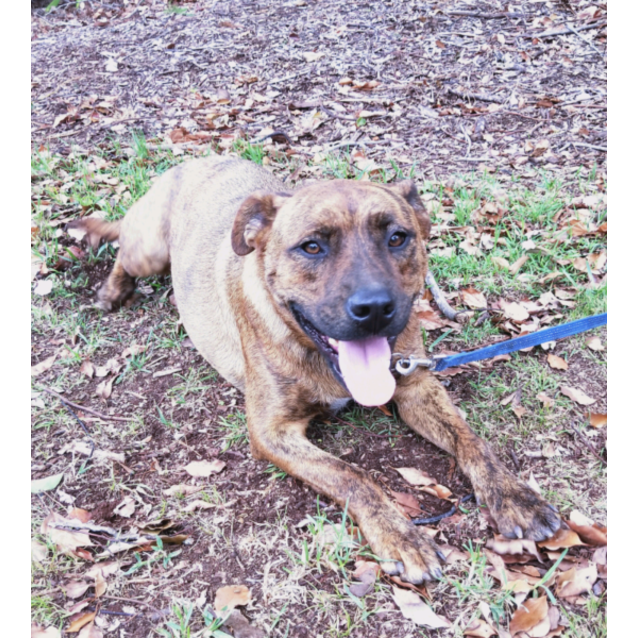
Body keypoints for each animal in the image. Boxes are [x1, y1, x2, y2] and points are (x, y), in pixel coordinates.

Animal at [72, 155, 564, 584]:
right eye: (311, 246)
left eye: (398, 237)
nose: (374, 308)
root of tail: (193, 161)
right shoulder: (273, 432)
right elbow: (354, 476)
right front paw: (400, 535)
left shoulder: (416, 385)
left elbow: (470, 440)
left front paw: (514, 495)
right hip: (150, 250)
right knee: (122, 255)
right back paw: (112, 292)